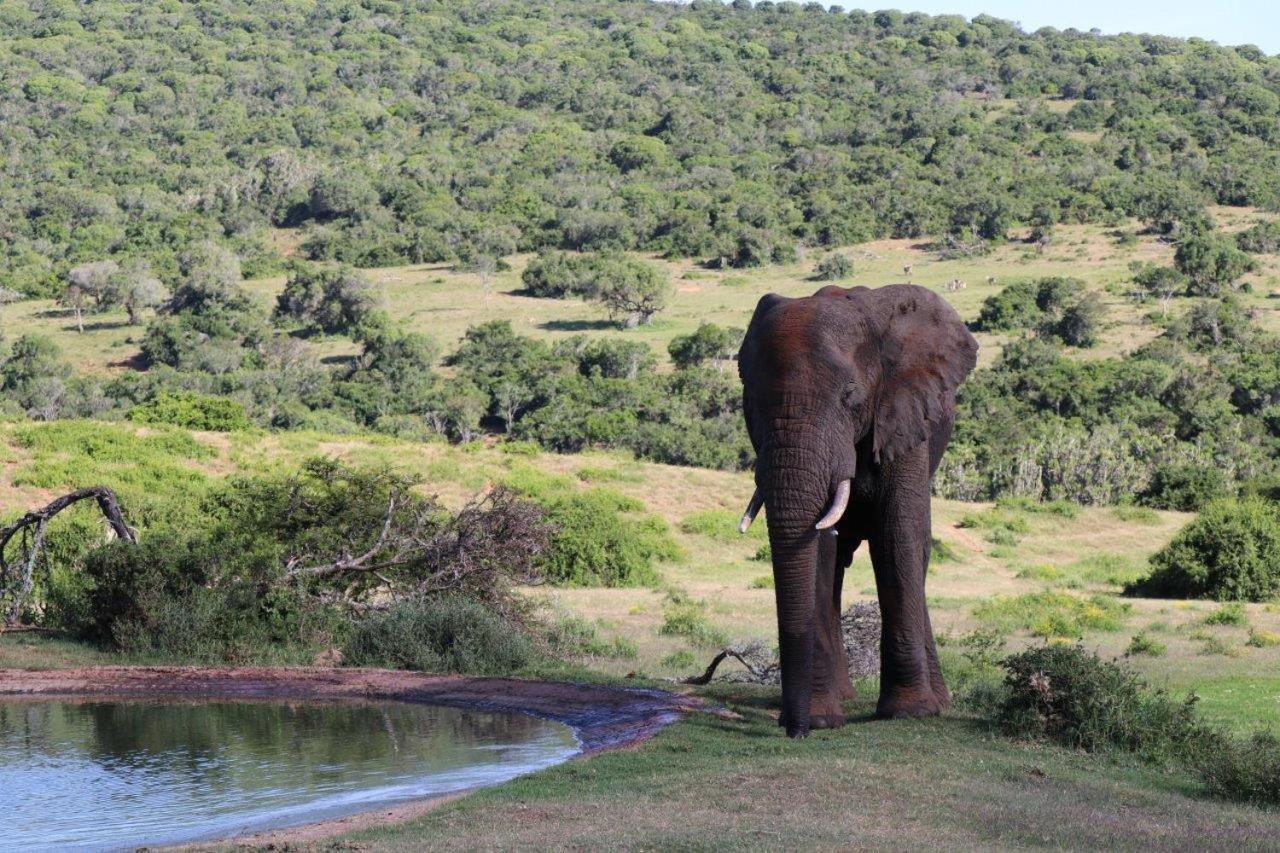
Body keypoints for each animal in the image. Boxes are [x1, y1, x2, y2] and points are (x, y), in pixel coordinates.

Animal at [737, 281, 972, 732]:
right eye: (750, 403)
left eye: (849, 396)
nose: (793, 731)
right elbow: (819, 547)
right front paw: (822, 719)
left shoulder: (902, 413)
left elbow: (897, 539)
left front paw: (909, 712)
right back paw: (843, 698)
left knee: (916, 551)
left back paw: (939, 701)